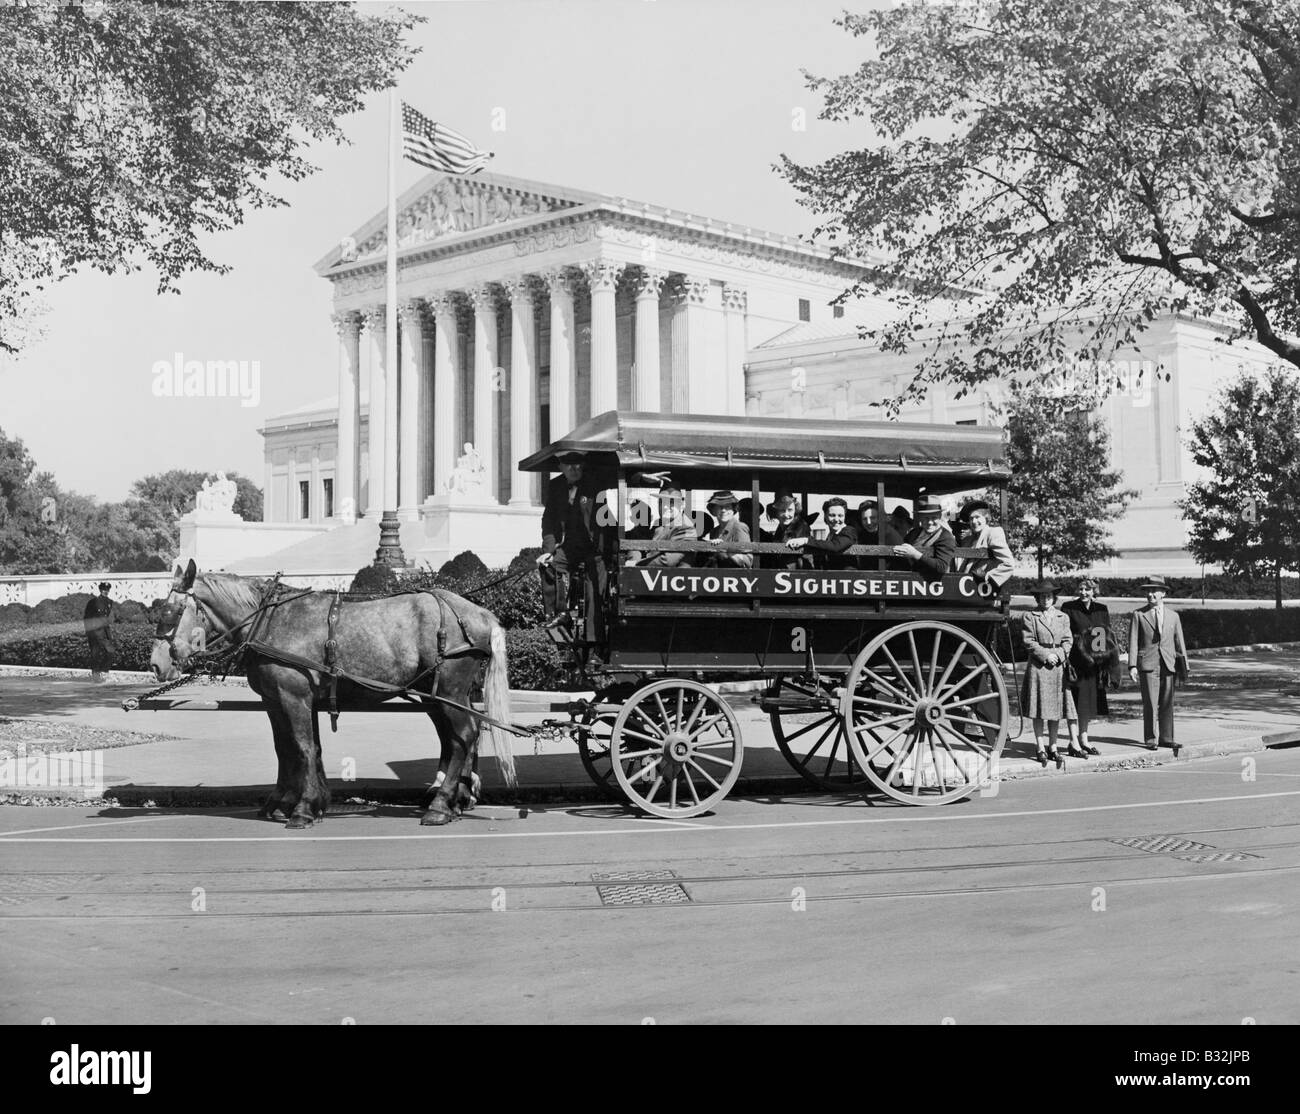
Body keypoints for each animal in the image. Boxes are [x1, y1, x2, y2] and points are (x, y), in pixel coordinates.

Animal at [149, 556, 514, 826]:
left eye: (171, 611)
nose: (156, 664)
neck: (268, 620)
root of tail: (480, 614)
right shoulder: (278, 700)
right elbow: (289, 748)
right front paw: (287, 801)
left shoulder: (293, 696)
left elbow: (303, 747)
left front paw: (303, 808)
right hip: (437, 694)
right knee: (458, 738)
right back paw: (454, 799)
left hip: (449, 690)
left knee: (463, 736)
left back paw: (440, 805)